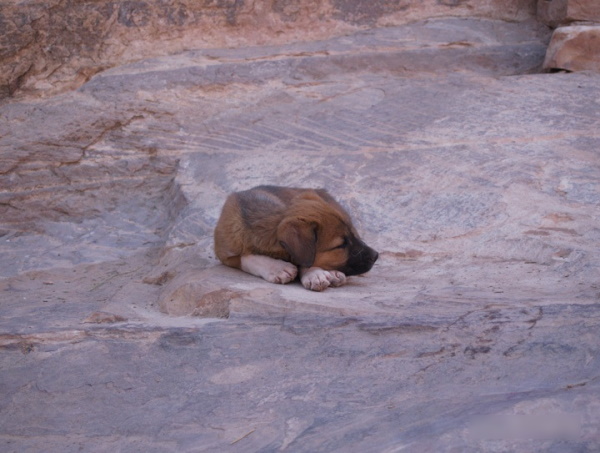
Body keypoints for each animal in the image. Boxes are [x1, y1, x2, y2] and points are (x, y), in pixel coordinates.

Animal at [213, 185, 378, 292]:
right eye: (341, 245)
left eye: (351, 236)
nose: (376, 256)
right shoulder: (226, 253)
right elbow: (248, 258)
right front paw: (278, 268)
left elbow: (305, 260)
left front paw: (314, 274)